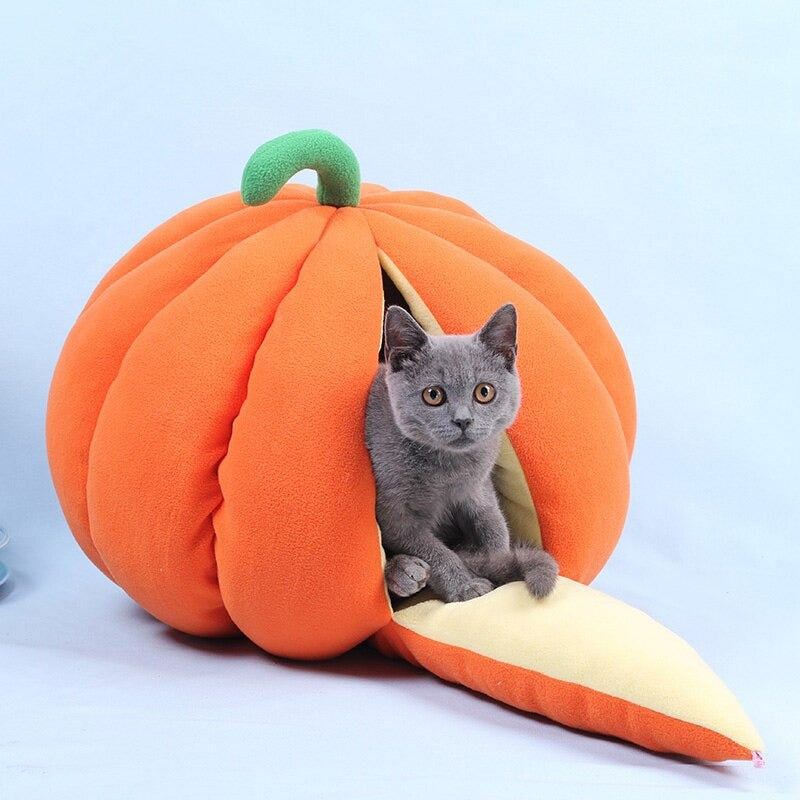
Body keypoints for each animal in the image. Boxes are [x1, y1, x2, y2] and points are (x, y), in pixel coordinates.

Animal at [366, 304, 560, 600]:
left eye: (484, 392)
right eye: (433, 395)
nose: (463, 420)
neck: (449, 469)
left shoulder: (479, 488)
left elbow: (494, 526)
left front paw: (498, 563)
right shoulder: (394, 514)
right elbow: (433, 550)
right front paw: (465, 586)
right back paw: (404, 573)